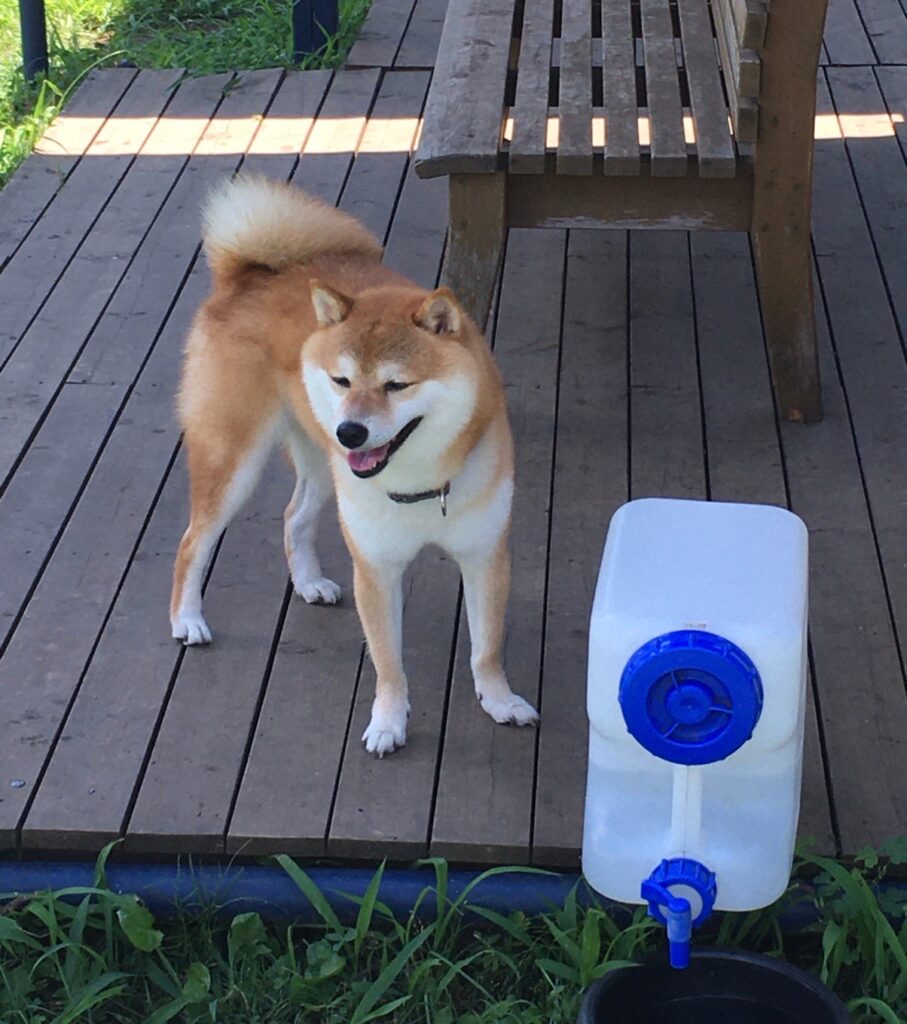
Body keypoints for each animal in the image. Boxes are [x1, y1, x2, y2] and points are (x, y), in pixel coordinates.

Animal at [170, 175, 539, 755]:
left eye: (396, 385)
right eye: (342, 380)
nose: (350, 431)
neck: (420, 482)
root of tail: (245, 275)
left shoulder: (485, 556)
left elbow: (486, 648)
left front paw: (500, 702)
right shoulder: (376, 566)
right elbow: (388, 662)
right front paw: (388, 723)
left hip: (325, 466)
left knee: (292, 517)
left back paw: (309, 582)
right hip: (235, 460)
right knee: (193, 543)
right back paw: (187, 620)